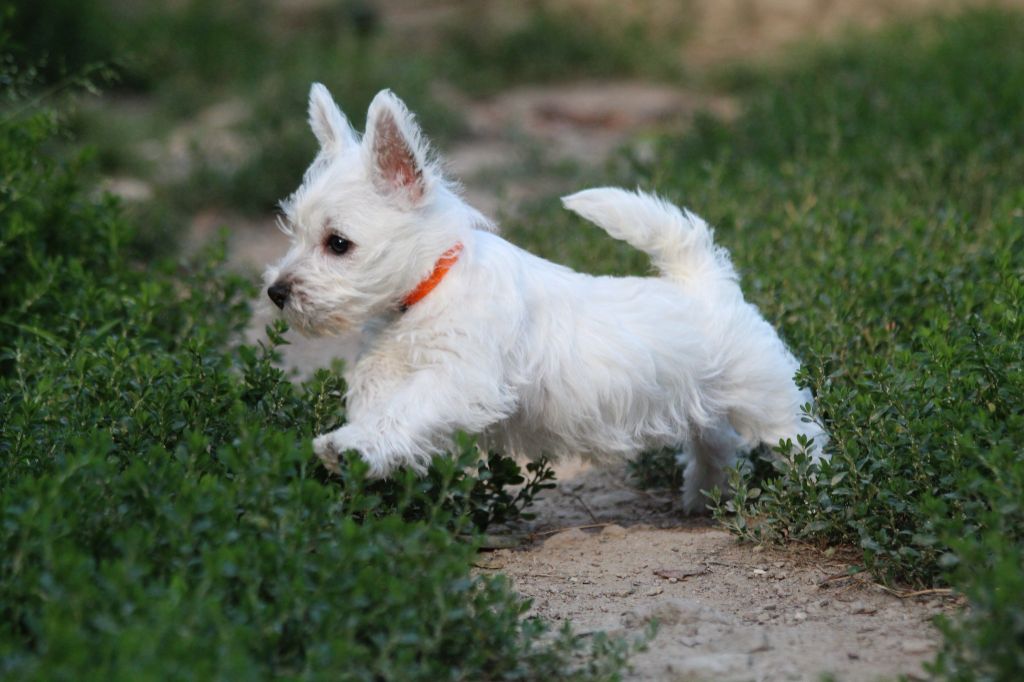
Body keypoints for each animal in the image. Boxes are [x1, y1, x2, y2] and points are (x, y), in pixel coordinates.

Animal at [264, 83, 823, 509]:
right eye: (292, 231)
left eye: (338, 243)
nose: (275, 291)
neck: (426, 291)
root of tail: (707, 280)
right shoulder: (388, 370)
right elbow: (380, 409)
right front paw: (360, 449)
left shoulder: (458, 378)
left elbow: (405, 410)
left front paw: (348, 446)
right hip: (703, 407)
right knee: (718, 445)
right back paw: (705, 499)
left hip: (767, 401)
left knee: (804, 440)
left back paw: (815, 492)